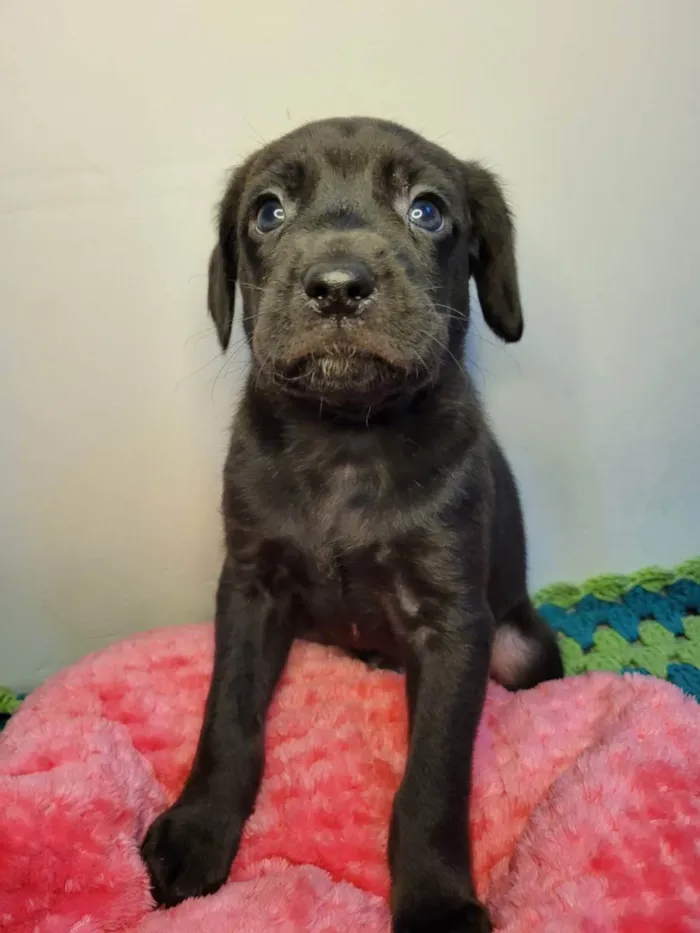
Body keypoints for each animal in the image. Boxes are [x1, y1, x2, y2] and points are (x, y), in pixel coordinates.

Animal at [141, 118, 564, 932]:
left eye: (427, 210)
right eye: (267, 212)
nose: (338, 286)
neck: (345, 442)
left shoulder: (453, 623)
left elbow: (433, 775)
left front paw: (434, 900)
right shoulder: (249, 587)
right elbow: (227, 717)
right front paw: (201, 828)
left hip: (520, 648)